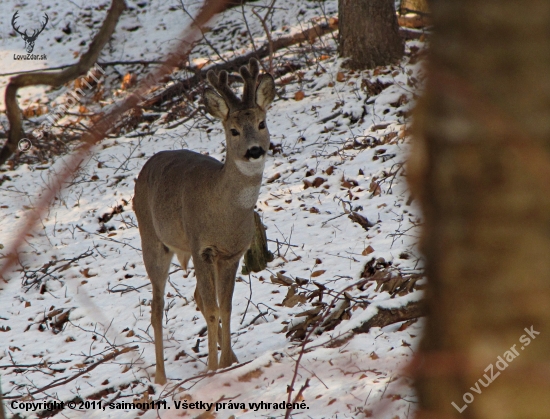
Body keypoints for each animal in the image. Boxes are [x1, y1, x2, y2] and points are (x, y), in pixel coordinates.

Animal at [134, 60, 276, 388]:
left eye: (261, 124)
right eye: (233, 130)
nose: (254, 150)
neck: (224, 213)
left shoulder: (232, 253)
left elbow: (225, 305)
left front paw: (228, 361)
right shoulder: (201, 246)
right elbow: (213, 308)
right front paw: (213, 367)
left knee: (196, 296)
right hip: (152, 238)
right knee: (156, 307)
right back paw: (161, 377)